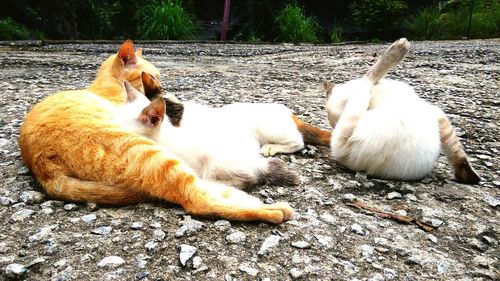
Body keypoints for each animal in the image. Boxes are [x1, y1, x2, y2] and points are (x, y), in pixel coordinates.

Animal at [18, 39, 292, 223]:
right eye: (153, 74)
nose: (161, 84)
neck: (105, 86)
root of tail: (45, 169)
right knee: (198, 197)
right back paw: (270, 208)